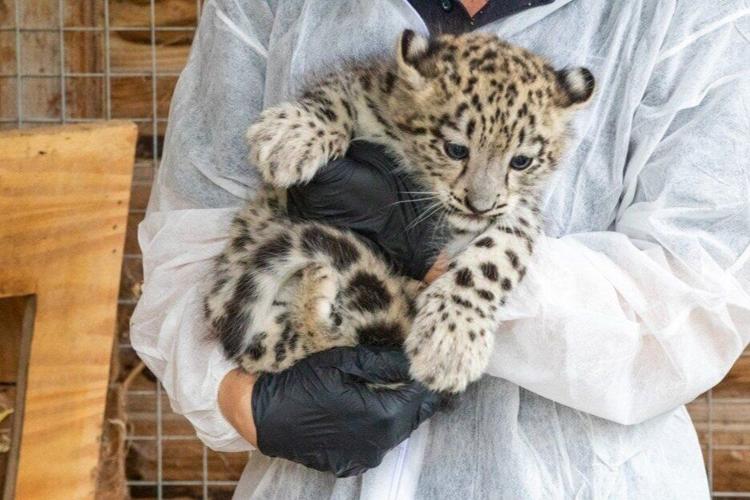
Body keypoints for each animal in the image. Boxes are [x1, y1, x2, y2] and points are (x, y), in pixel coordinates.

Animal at [203, 30, 595, 394]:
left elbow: (497, 255)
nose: (479, 205)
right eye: (456, 149)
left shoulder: (520, 208)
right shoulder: (365, 88)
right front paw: (290, 137)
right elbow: (335, 97)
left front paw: (450, 342)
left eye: (521, 161)